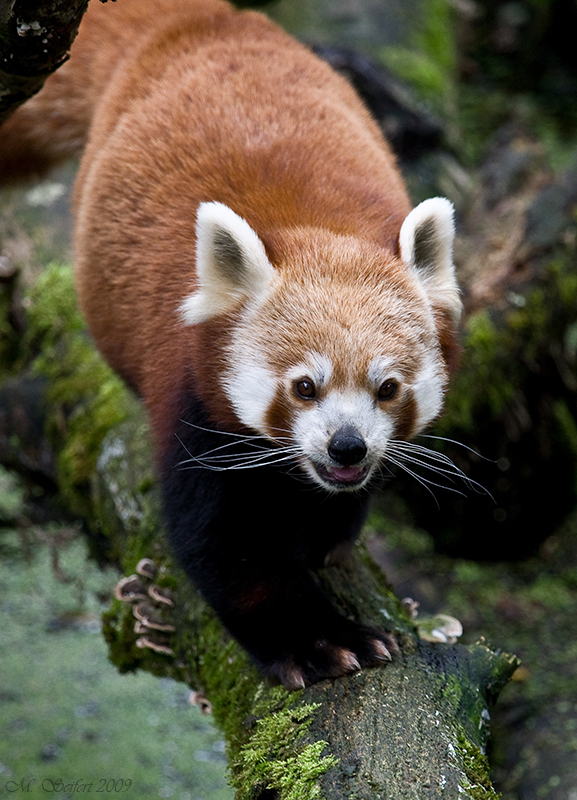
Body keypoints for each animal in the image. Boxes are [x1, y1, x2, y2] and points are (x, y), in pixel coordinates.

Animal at [1, 0, 460, 688]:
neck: (316, 226)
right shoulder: (192, 389)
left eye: (387, 388)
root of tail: (196, 19)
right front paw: (322, 640)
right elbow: (226, 544)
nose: (347, 445)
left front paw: (329, 531)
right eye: (304, 386)